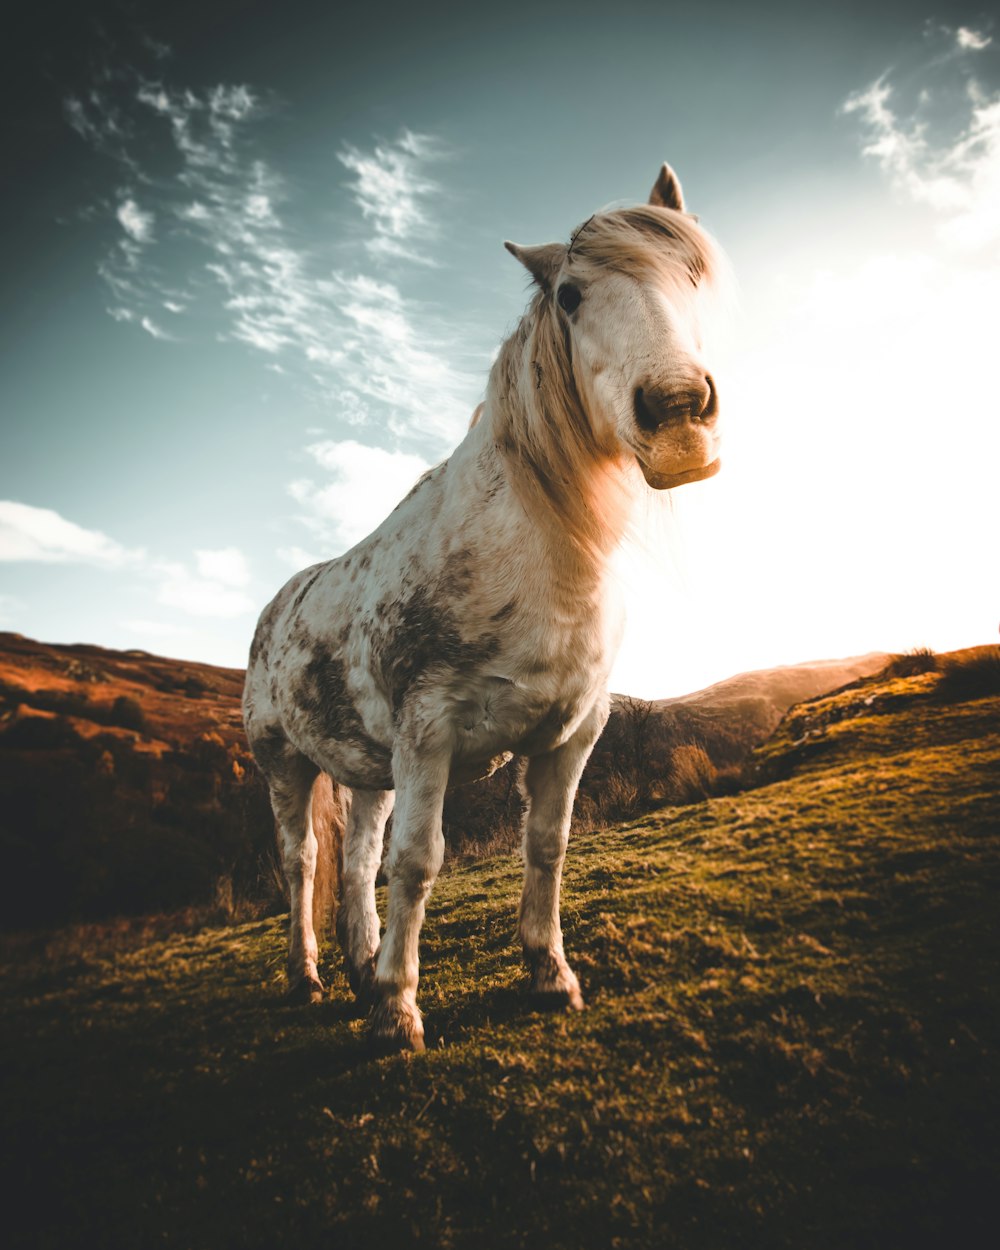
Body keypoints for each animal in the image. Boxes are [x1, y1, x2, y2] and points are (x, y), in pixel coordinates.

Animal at [242, 161, 725, 1050]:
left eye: (695, 274)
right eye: (570, 295)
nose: (677, 412)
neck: (532, 552)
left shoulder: (573, 733)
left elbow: (547, 845)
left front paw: (549, 974)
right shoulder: (429, 735)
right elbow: (419, 862)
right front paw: (398, 1012)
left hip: (368, 766)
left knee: (355, 860)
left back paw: (358, 967)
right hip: (284, 761)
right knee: (302, 863)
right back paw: (311, 976)